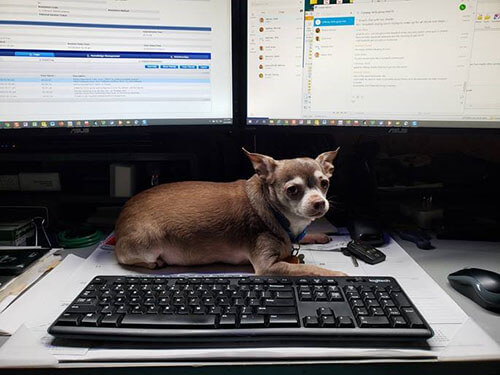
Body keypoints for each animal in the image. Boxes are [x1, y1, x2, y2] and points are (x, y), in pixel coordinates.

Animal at [114, 148, 346, 278]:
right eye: (292, 190)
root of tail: (122, 215)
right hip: (147, 243)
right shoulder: (267, 267)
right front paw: (338, 274)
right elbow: (311, 270)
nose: (319, 203)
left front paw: (317, 236)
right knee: (125, 256)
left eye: (324, 183)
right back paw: (154, 262)